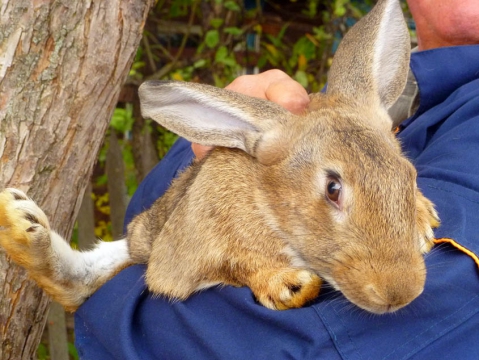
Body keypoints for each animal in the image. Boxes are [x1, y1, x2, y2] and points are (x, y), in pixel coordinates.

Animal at [0, 0, 440, 314]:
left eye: (408, 174)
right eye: (333, 188)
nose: (400, 292)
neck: (268, 206)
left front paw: (424, 220)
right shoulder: (187, 250)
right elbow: (225, 265)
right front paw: (288, 285)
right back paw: (20, 221)